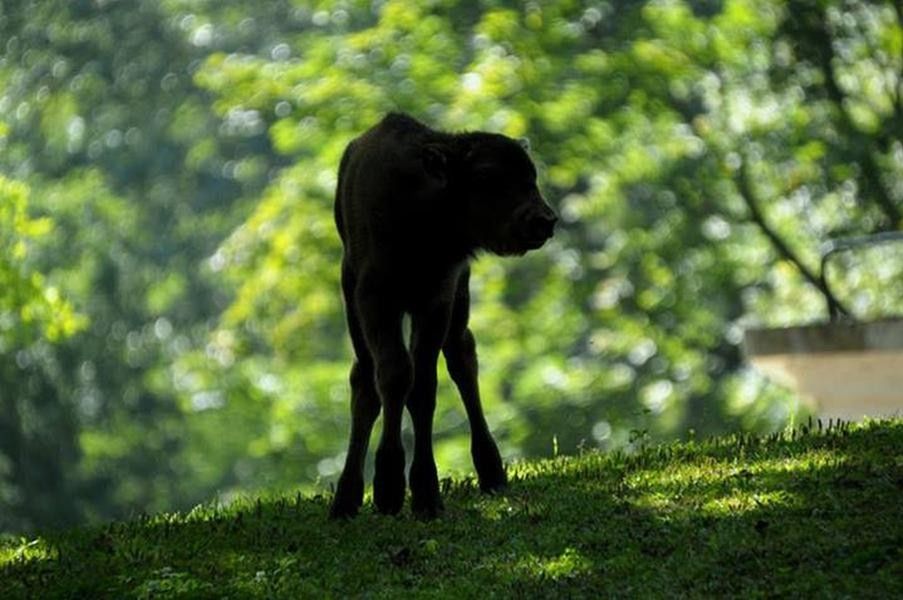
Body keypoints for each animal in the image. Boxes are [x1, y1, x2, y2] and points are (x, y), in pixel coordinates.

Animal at [332, 113, 556, 520]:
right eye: (487, 177)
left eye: (531, 175)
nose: (543, 220)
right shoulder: (374, 299)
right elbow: (392, 376)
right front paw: (388, 488)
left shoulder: (438, 298)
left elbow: (423, 386)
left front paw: (423, 492)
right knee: (365, 380)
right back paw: (346, 497)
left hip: (459, 302)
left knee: (462, 358)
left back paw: (491, 471)